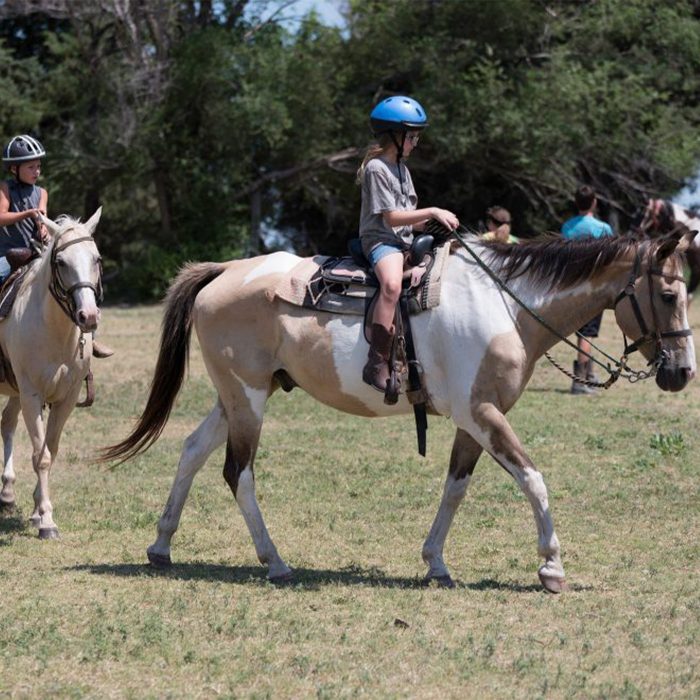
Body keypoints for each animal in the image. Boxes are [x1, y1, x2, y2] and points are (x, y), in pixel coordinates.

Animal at [0, 208, 103, 538]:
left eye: (97, 259)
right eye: (61, 262)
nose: (89, 316)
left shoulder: (65, 398)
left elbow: (50, 450)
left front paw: (37, 510)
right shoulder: (32, 395)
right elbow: (40, 456)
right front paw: (46, 520)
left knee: (7, 423)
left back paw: (7, 493)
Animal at [101, 227, 696, 593]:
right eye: (669, 295)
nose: (683, 373)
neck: (504, 304)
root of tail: (225, 271)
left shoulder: (472, 420)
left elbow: (456, 487)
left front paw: (436, 562)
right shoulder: (483, 413)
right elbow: (534, 478)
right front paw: (551, 566)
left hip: (240, 395)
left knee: (192, 451)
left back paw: (161, 545)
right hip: (247, 400)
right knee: (237, 472)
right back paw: (275, 562)